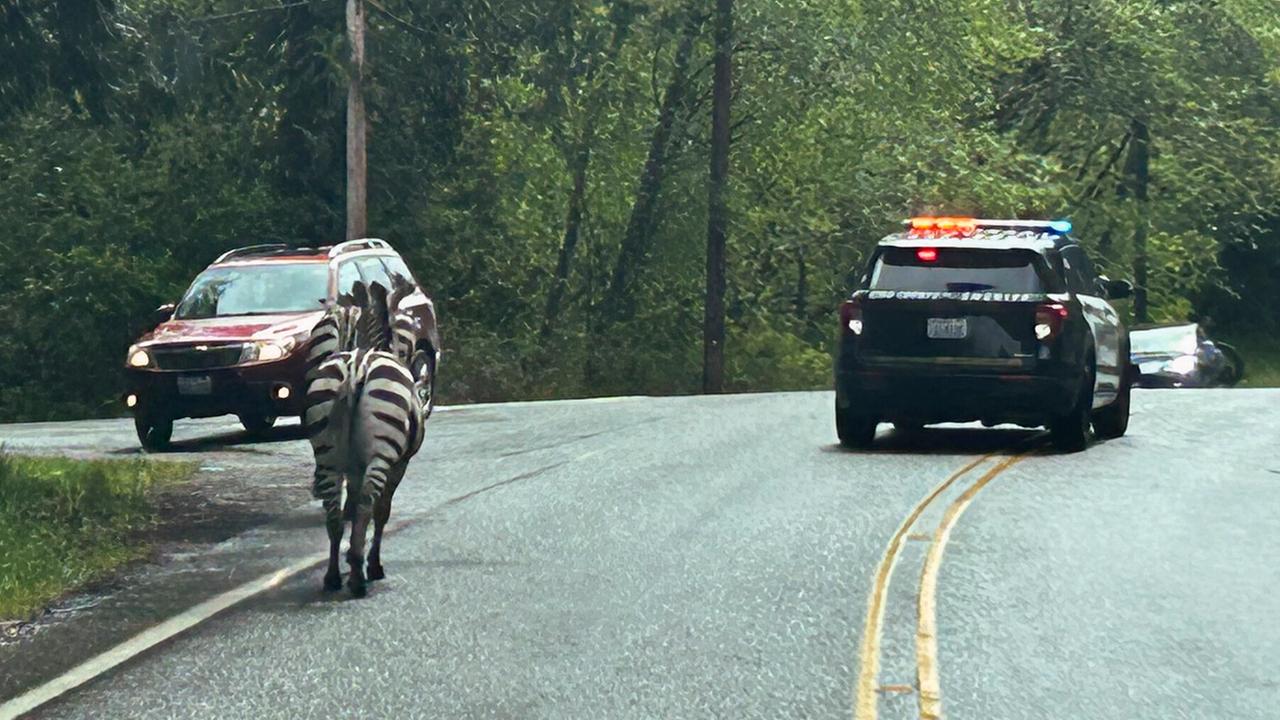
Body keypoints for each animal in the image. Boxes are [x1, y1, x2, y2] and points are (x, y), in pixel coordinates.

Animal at [303, 285, 424, 594]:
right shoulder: (400, 463)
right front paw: (374, 565)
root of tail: (356, 368)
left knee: (333, 510)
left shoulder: (354, 465)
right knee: (370, 502)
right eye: (404, 330)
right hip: (383, 451)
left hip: (328, 453)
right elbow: (381, 511)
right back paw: (359, 576)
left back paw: (334, 576)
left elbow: (353, 504)